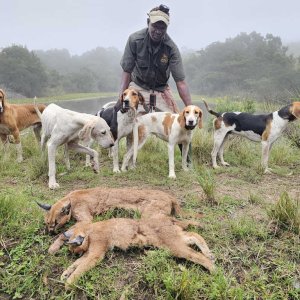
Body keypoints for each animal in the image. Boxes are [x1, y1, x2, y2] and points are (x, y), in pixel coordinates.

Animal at [52, 214, 214, 288]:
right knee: (193, 235)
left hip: (173, 245)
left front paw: (70, 282)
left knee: (195, 254)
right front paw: (65, 273)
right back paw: (209, 253)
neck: (90, 230)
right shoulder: (90, 253)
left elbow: (81, 266)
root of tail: (168, 218)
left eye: (76, 250)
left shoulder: (95, 253)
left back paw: (213, 268)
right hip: (171, 241)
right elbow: (77, 264)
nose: (77, 253)